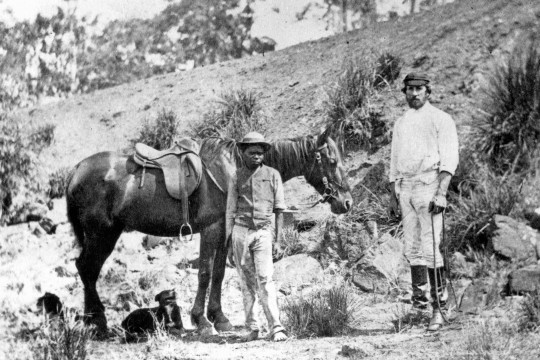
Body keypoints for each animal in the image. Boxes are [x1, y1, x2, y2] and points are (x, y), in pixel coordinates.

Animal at [65, 130, 352, 334]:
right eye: (332, 160)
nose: (347, 202)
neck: (233, 170)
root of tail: (76, 171)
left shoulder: (225, 230)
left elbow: (219, 273)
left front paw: (218, 317)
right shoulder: (211, 229)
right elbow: (204, 273)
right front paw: (201, 320)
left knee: (86, 269)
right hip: (102, 235)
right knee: (87, 269)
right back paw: (98, 324)